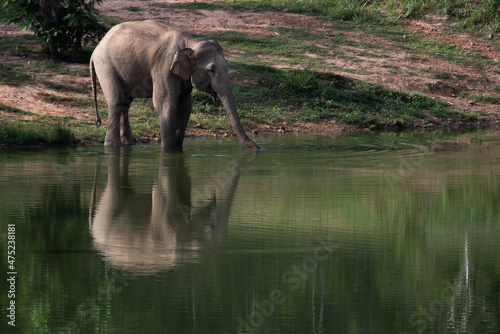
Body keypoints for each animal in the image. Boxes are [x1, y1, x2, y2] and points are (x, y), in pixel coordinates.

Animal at [90, 20, 260, 151]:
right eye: (211, 70)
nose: (259, 149)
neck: (191, 43)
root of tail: (96, 49)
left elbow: (185, 106)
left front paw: (177, 149)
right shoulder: (163, 67)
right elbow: (166, 104)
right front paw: (168, 151)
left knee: (125, 103)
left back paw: (128, 145)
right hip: (106, 65)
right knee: (117, 102)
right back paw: (111, 146)